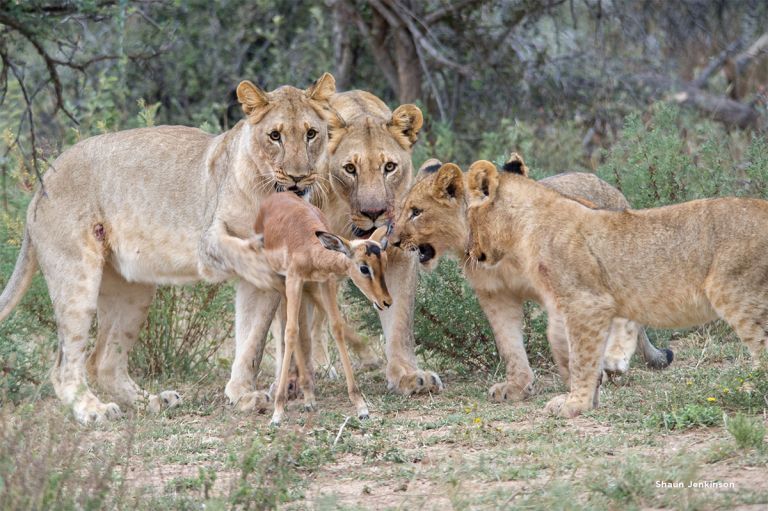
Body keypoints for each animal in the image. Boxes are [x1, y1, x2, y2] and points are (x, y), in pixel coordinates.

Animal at [0, 72, 340, 424]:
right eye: (275, 136)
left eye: (311, 134)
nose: (298, 178)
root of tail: (41, 185)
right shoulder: (209, 240)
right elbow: (239, 257)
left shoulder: (256, 291)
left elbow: (252, 339)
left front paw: (242, 395)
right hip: (77, 278)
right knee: (65, 365)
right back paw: (93, 410)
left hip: (133, 291)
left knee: (103, 360)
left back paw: (152, 401)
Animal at [255, 192, 392, 424]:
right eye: (364, 268)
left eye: (384, 262)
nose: (386, 301)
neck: (310, 248)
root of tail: (276, 196)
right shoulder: (294, 279)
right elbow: (290, 332)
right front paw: (277, 413)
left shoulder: (325, 281)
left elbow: (336, 328)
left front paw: (361, 406)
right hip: (281, 282)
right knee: (289, 328)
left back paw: (309, 398)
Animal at [392, 158, 676, 402]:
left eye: (416, 212)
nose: (392, 241)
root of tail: (604, 182)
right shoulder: (496, 295)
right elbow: (509, 343)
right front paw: (517, 387)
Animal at [462, 158, 768, 418]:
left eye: (469, 217)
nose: (469, 252)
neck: (523, 229)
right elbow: (573, 351)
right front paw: (584, 396)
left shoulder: (587, 303)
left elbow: (581, 358)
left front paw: (576, 404)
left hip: (734, 292)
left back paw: (750, 390)